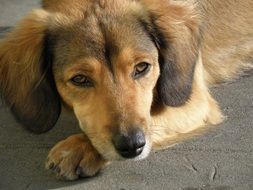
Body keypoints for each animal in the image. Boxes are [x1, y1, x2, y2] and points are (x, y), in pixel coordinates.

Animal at [0, 0, 253, 180]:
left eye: (142, 67)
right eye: (80, 79)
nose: (132, 146)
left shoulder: (194, 100)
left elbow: (152, 119)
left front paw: (80, 147)